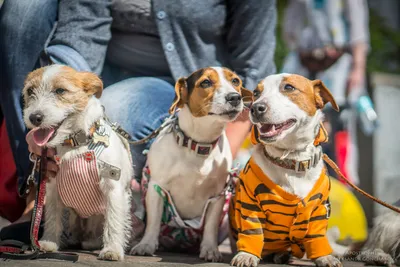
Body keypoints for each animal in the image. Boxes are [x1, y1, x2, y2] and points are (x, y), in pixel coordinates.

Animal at [130, 66, 252, 262]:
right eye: (206, 82)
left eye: (235, 81)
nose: (234, 97)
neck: (199, 144)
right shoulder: (156, 187)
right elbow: (154, 221)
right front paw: (146, 245)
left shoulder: (218, 195)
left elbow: (210, 225)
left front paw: (210, 249)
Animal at [230, 74, 342, 267]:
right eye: (256, 93)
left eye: (289, 87)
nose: (255, 107)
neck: (291, 161)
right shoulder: (249, 203)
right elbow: (252, 231)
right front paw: (246, 254)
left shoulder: (320, 209)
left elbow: (317, 235)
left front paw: (324, 257)